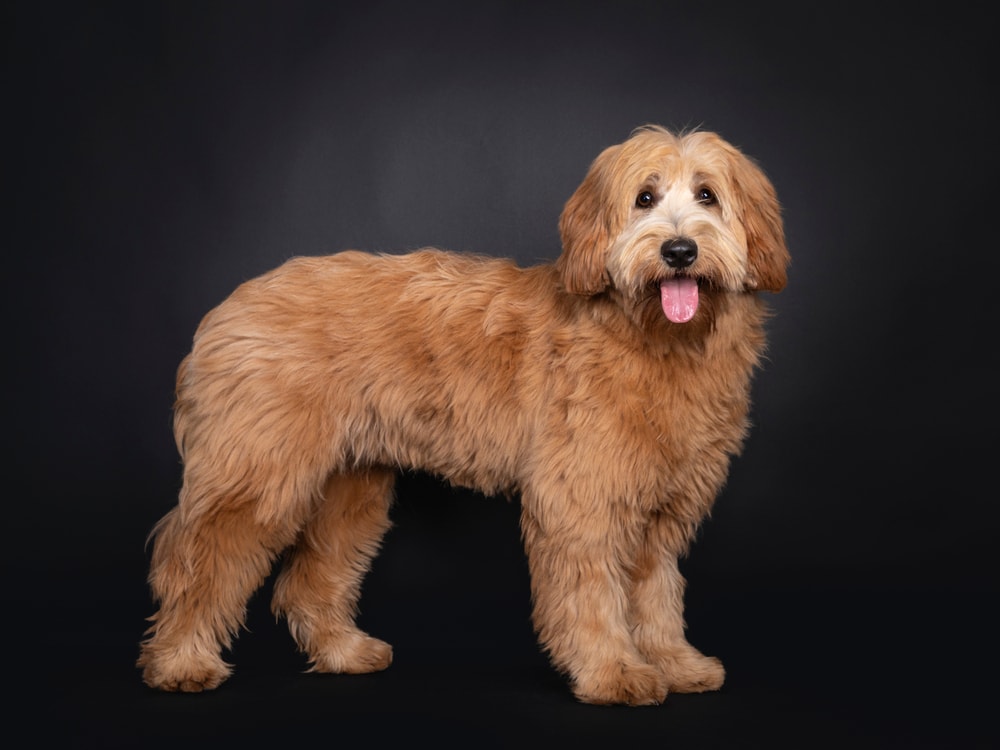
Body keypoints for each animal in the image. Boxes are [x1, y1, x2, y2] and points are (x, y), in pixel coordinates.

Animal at [137, 126, 788, 708]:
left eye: (707, 195)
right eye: (644, 198)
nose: (679, 251)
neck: (654, 338)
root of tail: (228, 307)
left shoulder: (660, 511)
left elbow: (656, 594)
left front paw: (675, 663)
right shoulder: (584, 502)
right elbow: (593, 597)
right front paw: (614, 674)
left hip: (350, 487)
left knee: (309, 579)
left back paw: (345, 653)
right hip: (255, 477)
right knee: (193, 561)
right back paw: (181, 663)